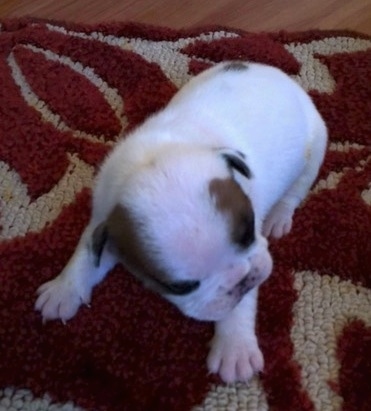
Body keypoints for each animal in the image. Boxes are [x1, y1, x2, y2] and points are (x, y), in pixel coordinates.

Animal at [34, 61, 326, 384]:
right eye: (181, 287)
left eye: (249, 230)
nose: (243, 279)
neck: (153, 161)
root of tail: (281, 75)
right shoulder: (104, 219)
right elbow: (86, 254)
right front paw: (64, 288)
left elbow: (241, 305)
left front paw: (234, 348)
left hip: (316, 144)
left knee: (298, 186)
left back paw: (280, 216)